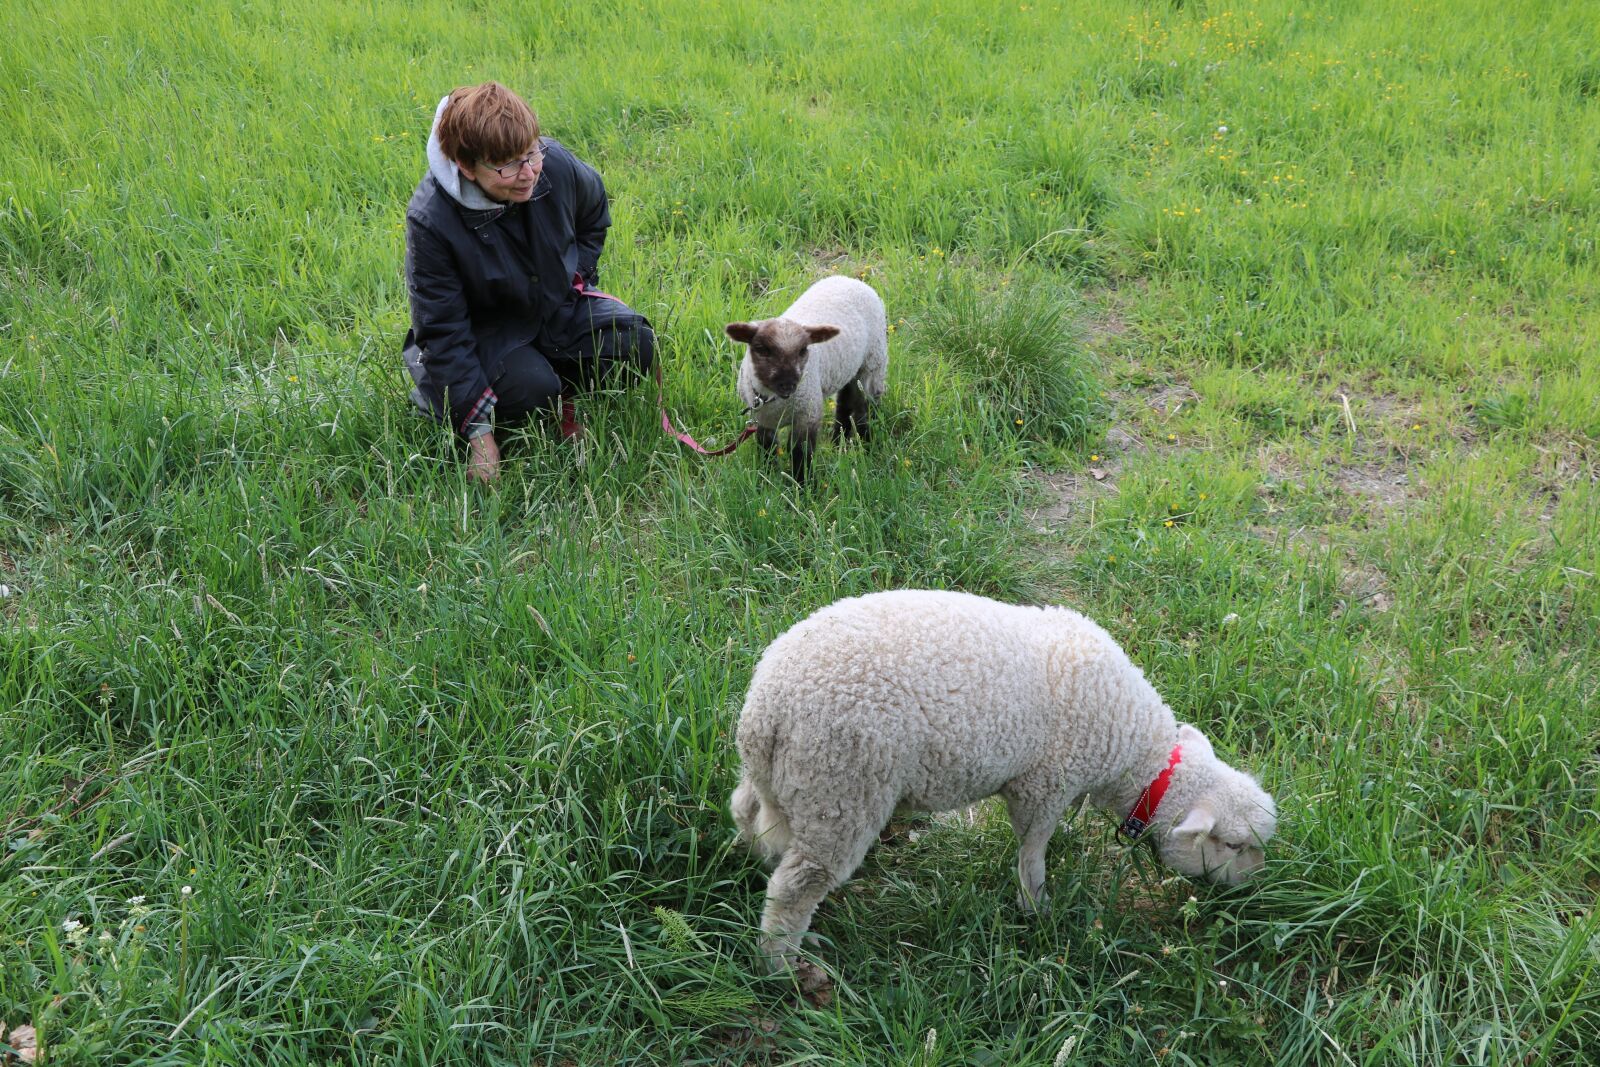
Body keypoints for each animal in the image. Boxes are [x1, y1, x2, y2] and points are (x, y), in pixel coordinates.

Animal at [725, 275, 889, 482]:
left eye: (803, 350)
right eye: (762, 349)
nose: (787, 385)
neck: (772, 399)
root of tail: (850, 279)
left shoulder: (807, 415)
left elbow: (800, 452)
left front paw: (803, 484)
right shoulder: (763, 420)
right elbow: (767, 448)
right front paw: (767, 477)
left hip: (872, 363)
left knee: (865, 409)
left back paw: (866, 446)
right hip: (848, 368)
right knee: (845, 401)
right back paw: (838, 442)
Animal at [730, 589, 1277, 969]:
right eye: (1232, 845)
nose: (1256, 884)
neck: (1133, 751)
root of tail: (766, 710)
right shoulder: (1043, 784)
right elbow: (1032, 848)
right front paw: (1036, 905)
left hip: (791, 783)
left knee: (748, 814)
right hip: (842, 789)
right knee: (797, 884)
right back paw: (782, 963)